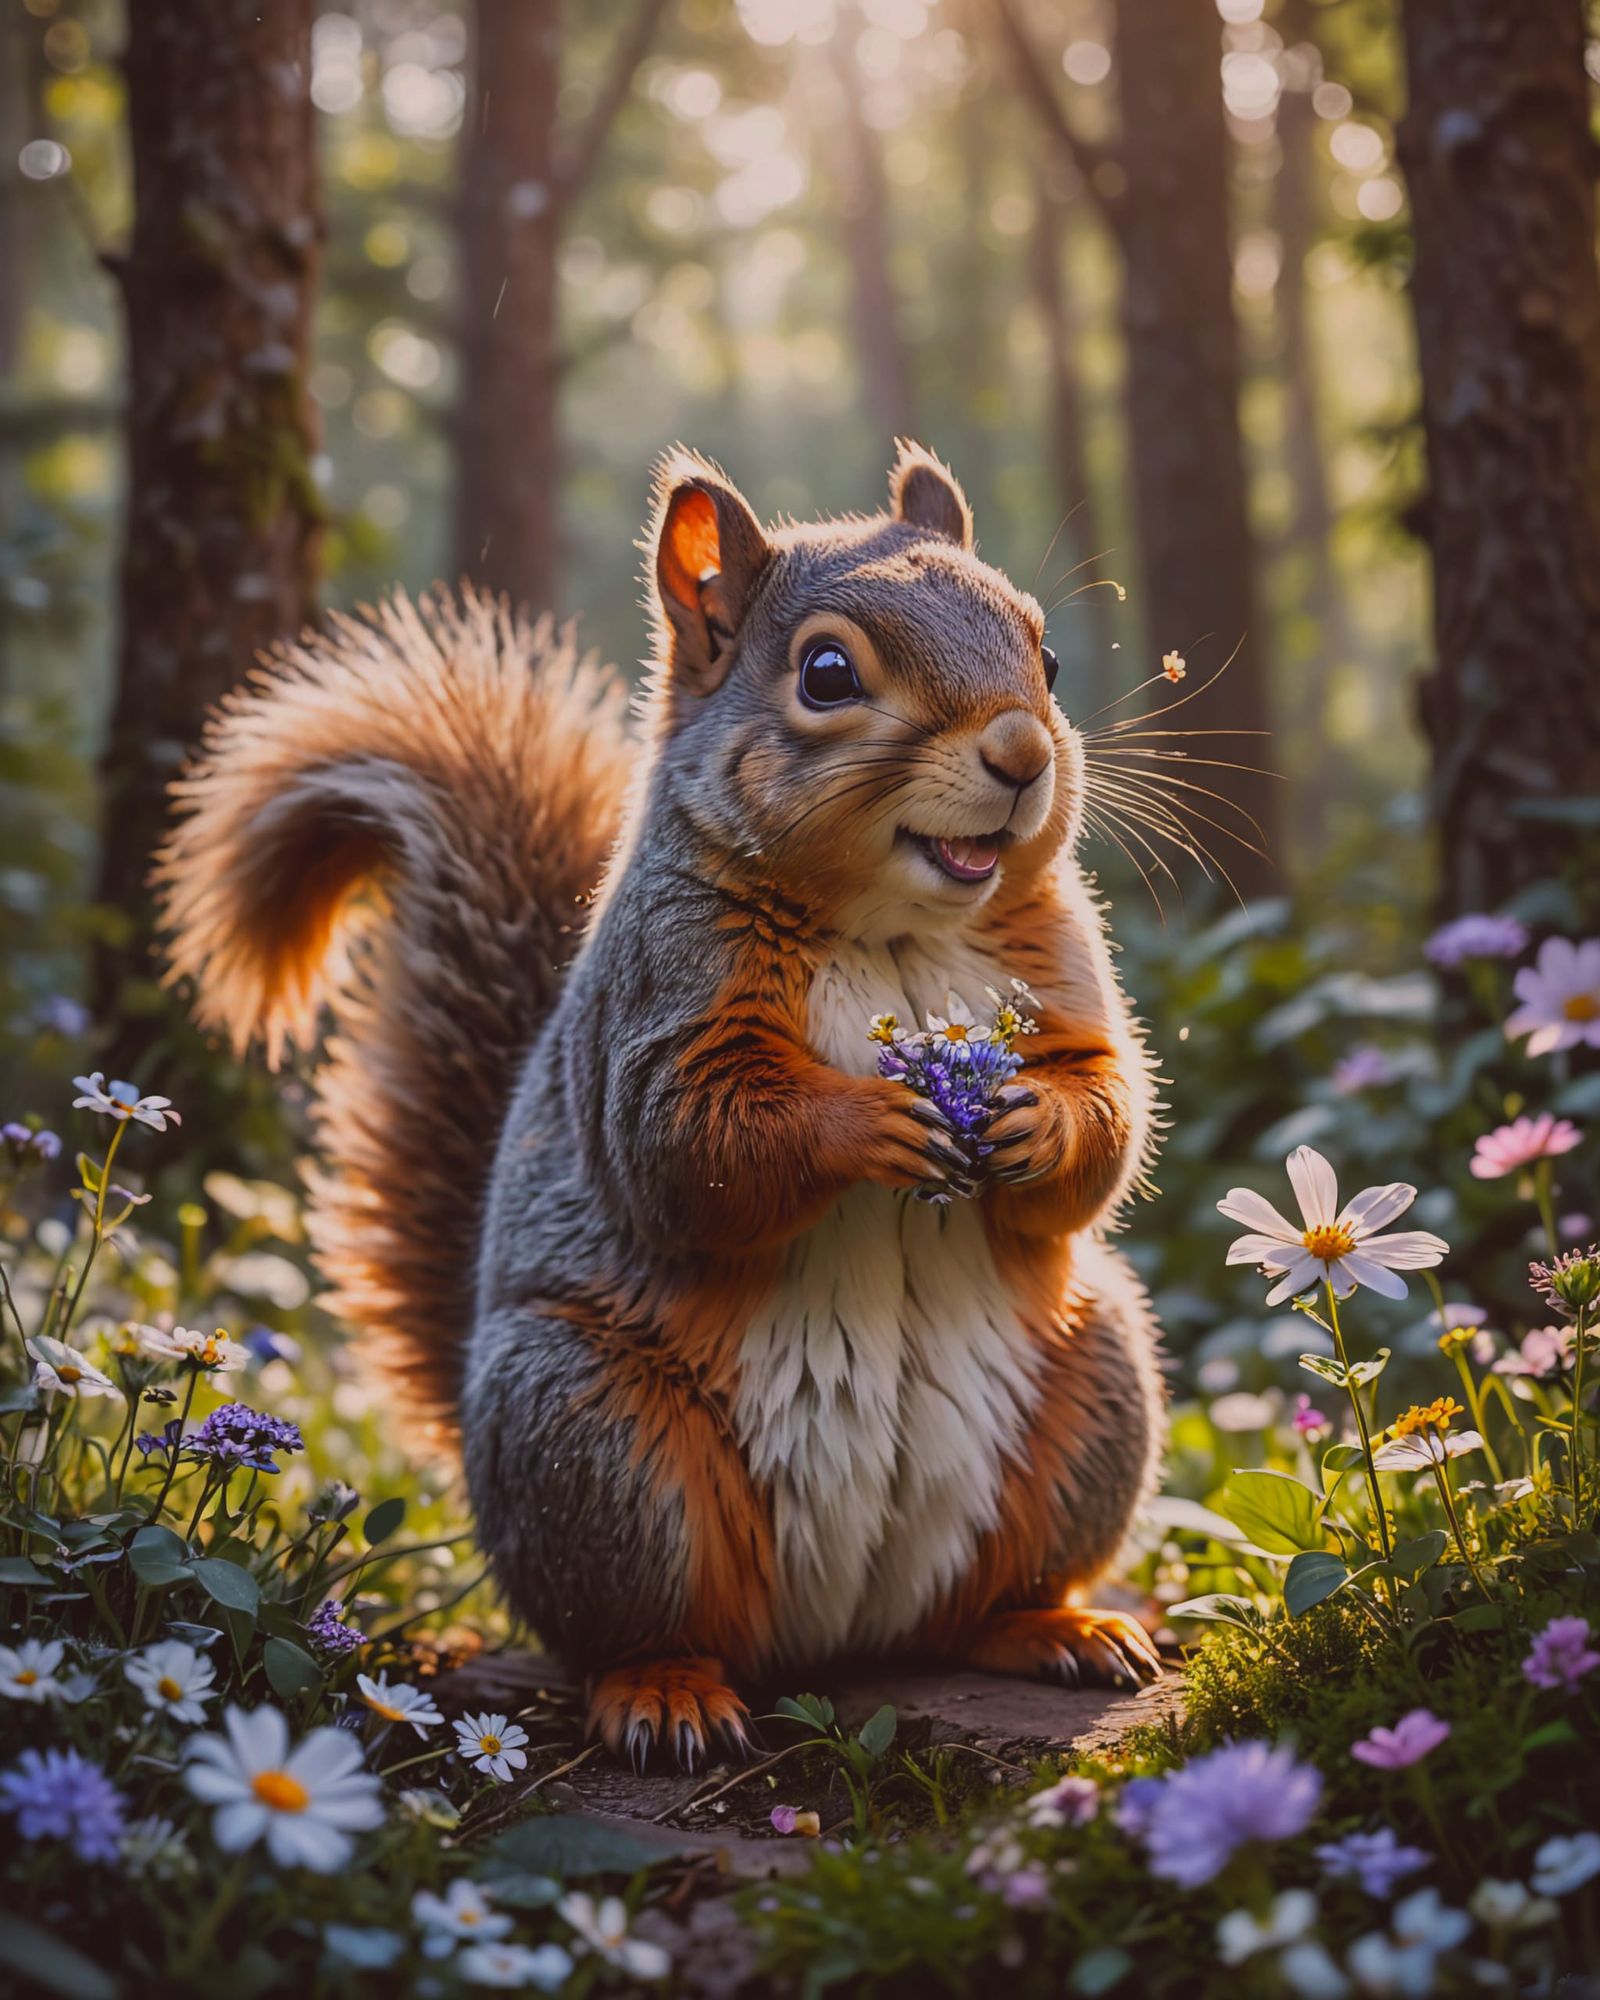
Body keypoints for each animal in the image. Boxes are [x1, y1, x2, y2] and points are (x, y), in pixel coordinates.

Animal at [158, 442, 1167, 1770]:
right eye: (827, 672)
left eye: (1043, 657)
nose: (1021, 750)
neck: (896, 925)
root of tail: (841, 1630)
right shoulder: (661, 1011)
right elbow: (691, 1146)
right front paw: (869, 1122)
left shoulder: (1062, 978)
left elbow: (1106, 1106)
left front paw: (1032, 1122)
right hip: (594, 1441)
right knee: (638, 1624)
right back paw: (666, 1691)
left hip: (1092, 1377)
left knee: (978, 1600)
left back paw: (1055, 1626)